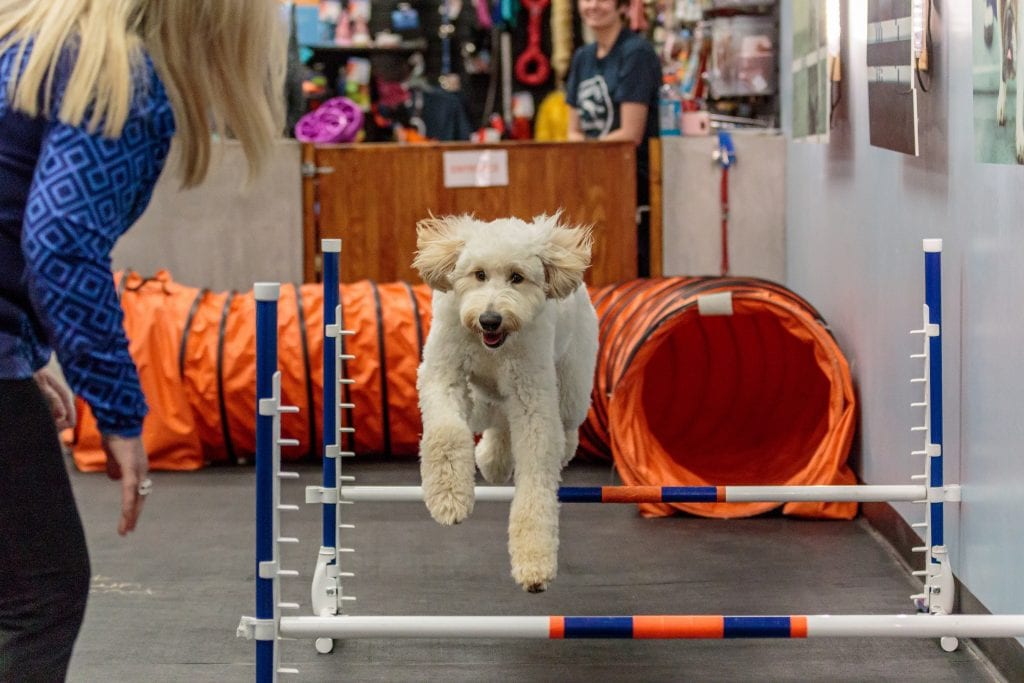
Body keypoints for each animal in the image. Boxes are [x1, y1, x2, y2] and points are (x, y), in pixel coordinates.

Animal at [409, 214, 598, 593]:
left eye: (517, 277)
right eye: (479, 274)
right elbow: (446, 434)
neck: (491, 347)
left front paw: (534, 562)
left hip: (570, 384)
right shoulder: (442, 374)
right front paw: (449, 498)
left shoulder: (532, 400)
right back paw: (492, 460)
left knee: (565, 422)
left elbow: (537, 477)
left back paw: (561, 448)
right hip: (483, 398)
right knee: (494, 420)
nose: (490, 319)